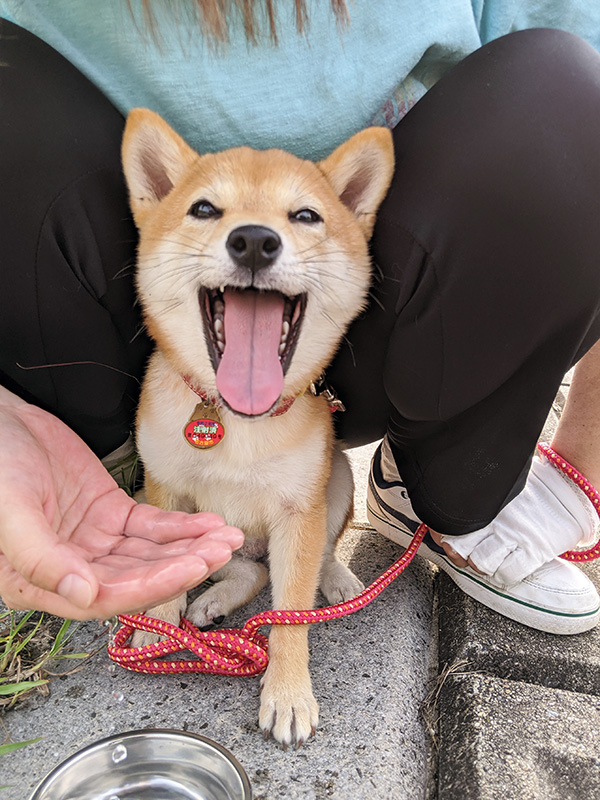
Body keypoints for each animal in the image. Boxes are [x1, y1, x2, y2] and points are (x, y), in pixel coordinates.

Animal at [121, 109, 394, 748]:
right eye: (203, 209)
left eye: (306, 216)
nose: (252, 239)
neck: (236, 418)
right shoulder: (164, 492)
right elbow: (172, 571)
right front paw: (157, 624)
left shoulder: (299, 510)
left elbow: (289, 615)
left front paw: (288, 692)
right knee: (247, 567)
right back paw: (211, 603)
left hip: (335, 480)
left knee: (309, 560)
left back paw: (336, 580)